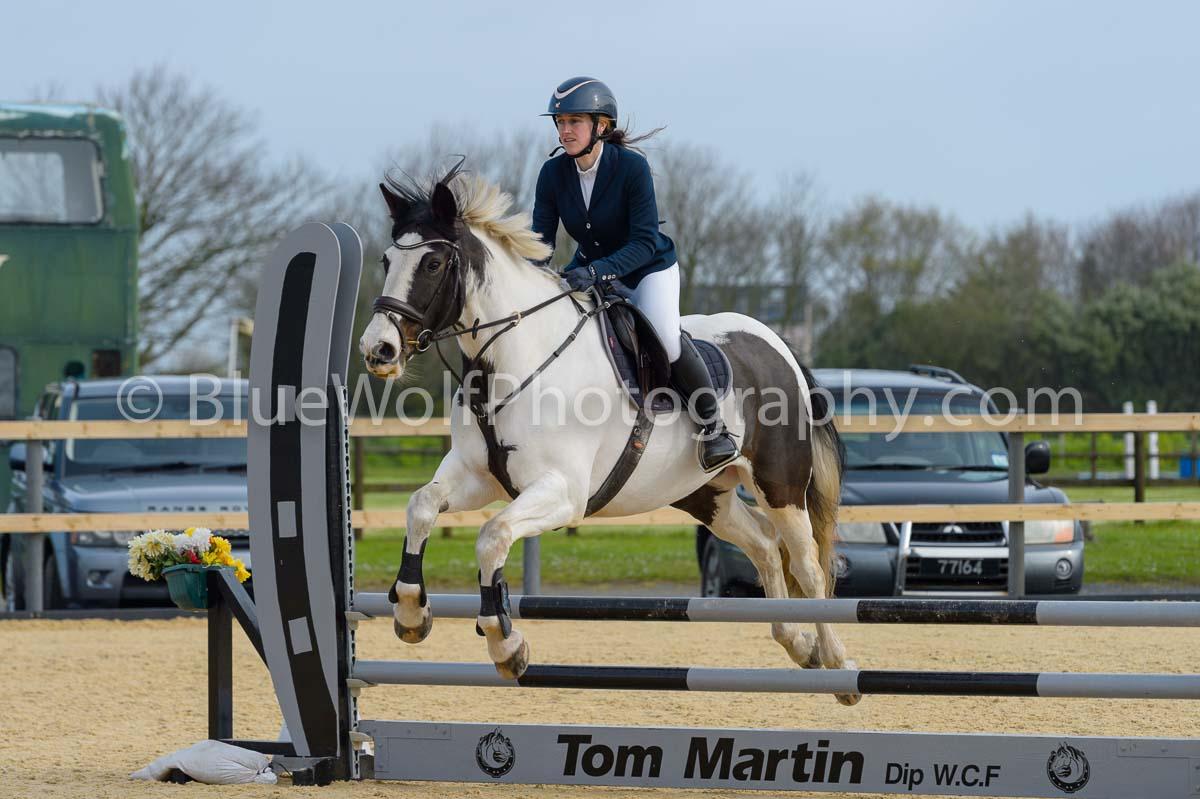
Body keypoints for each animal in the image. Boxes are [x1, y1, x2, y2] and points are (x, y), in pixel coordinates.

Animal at [358, 162, 860, 705]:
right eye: (386, 260)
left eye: (431, 264)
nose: (378, 350)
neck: (515, 361)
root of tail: (775, 340)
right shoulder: (475, 477)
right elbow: (421, 506)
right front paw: (411, 611)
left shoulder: (562, 493)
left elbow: (493, 536)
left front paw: (505, 643)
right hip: (704, 493)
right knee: (764, 544)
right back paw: (798, 643)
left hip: (780, 482)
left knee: (807, 563)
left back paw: (837, 663)